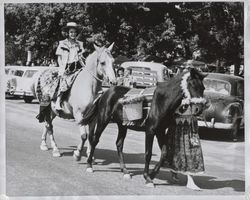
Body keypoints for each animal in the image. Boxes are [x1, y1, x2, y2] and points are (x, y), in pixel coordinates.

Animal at [77, 68, 205, 184]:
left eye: (203, 88)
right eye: (193, 85)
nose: (199, 109)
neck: (161, 101)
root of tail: (105, 93)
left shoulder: (160, 131)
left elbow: (165, 153)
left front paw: (153, 174)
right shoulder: (150, 131)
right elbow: (148, 153)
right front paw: (147, 177)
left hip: (122, 125)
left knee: (119, 144)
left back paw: (125, 171)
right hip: (103, 120)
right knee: (95, 140)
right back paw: (89, 165)